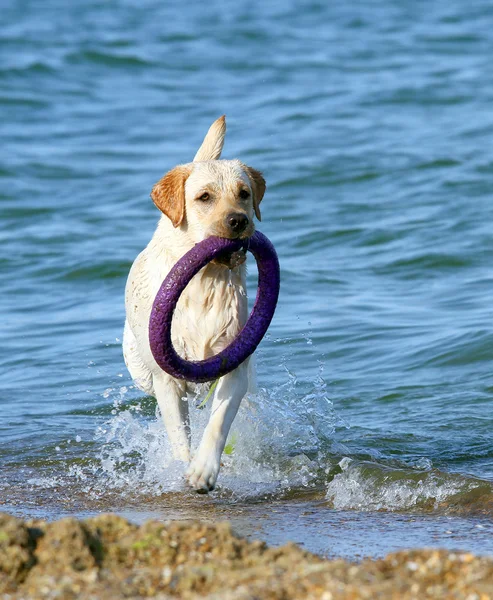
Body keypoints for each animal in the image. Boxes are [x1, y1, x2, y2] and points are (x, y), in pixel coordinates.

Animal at [124, 117, 266, 492]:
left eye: (244, 194)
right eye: (204, 197)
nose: (239, 221)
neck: (206, 282)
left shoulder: (233, 366)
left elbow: (218, 423)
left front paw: (204, 470)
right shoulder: (167, 381)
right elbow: (178, 435)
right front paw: (182, 465)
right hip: (139, 367)